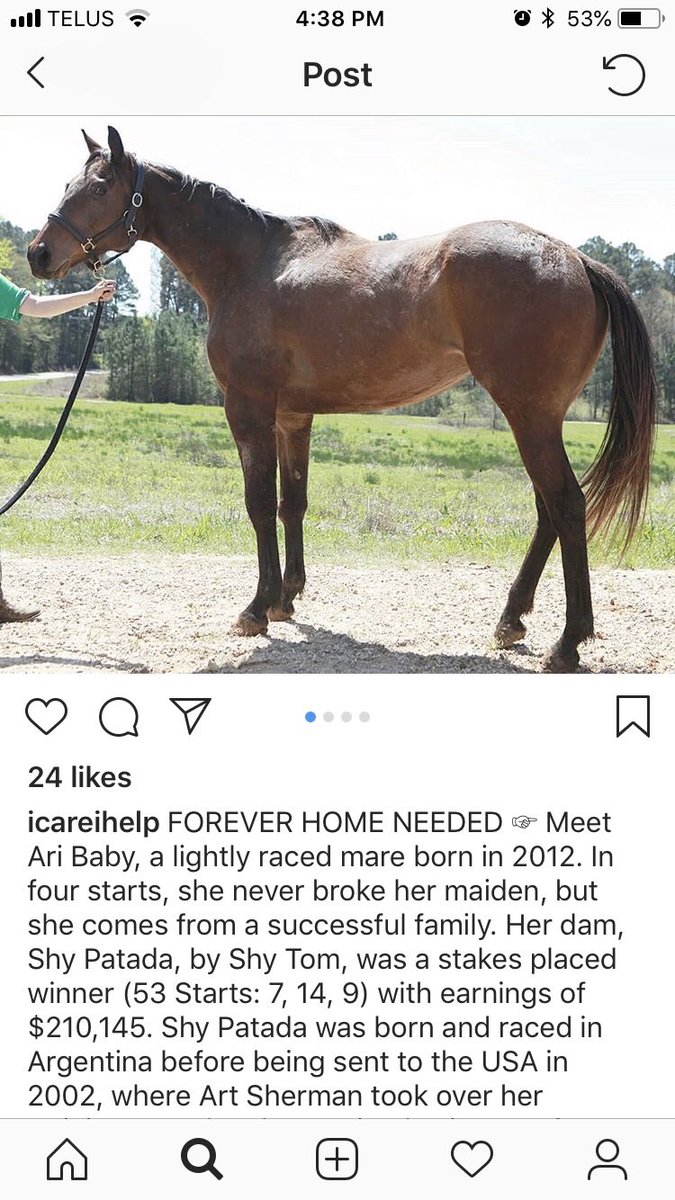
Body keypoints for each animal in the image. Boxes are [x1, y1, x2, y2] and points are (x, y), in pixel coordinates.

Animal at [26, 126, 656, 672]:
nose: (37, 253)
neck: (251, 266)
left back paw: (567, 643)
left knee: (567, 507)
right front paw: (285, 597)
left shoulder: (248, 411)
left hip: (529, 417)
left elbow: (259, 504)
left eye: (99, 188)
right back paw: (511, 621)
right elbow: (292, 503)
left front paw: (256, 609)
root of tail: (577, 258)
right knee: (549, 512)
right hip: (536, 420)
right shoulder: (292, 417)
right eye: (69, 184)